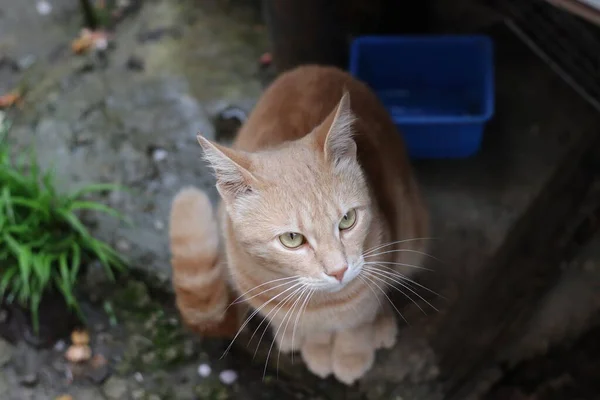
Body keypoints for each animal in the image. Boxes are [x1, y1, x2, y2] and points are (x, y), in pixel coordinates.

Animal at [171, 65, 428, 384]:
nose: (339, 270)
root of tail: (317, 67)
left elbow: (358, 321)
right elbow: (306, 327)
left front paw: (352, 354)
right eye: (292, 239)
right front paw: (315, 348)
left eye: (347, 220)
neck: (323, 304)